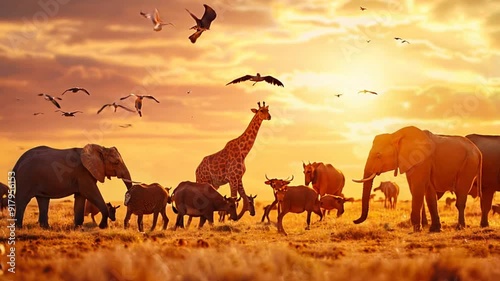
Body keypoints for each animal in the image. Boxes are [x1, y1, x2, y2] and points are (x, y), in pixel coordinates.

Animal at [352, 126, 480, 231]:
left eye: (378, 155)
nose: (354, 221)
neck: (396, 135)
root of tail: (478, 151)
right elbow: (426, 192)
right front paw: (434, 229)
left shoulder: (422, 159)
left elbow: (419, 187)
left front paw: (417, 229)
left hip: (469, 165)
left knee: (461, 195)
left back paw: (460, 227)